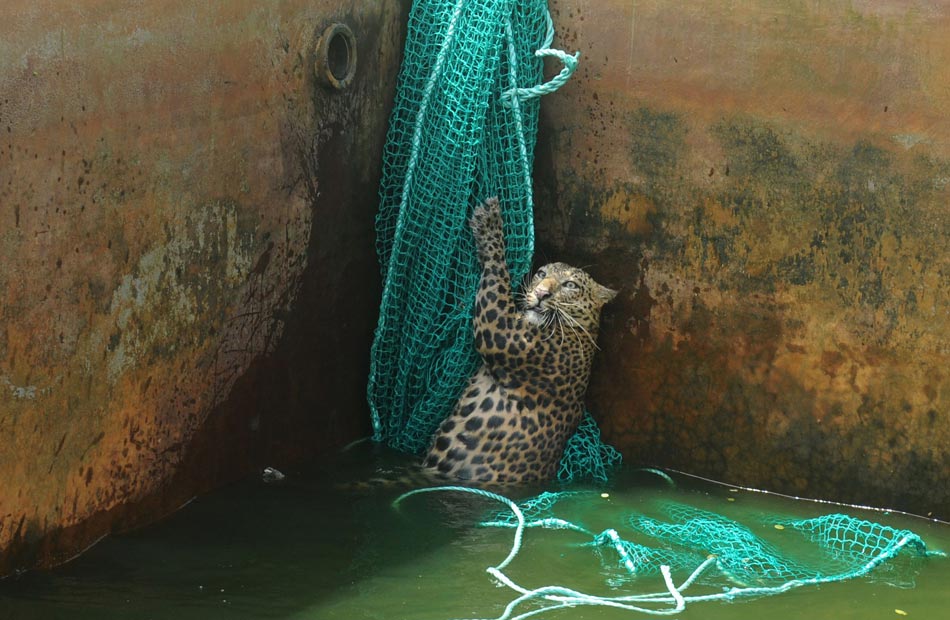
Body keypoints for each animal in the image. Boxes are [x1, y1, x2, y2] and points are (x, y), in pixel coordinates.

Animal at [422, 195, 616, 484]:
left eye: (570, 285)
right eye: (541, 274)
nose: (542, 293)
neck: (577, 332)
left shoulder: (501, 329)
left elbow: (497, 276)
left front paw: (489, 224)